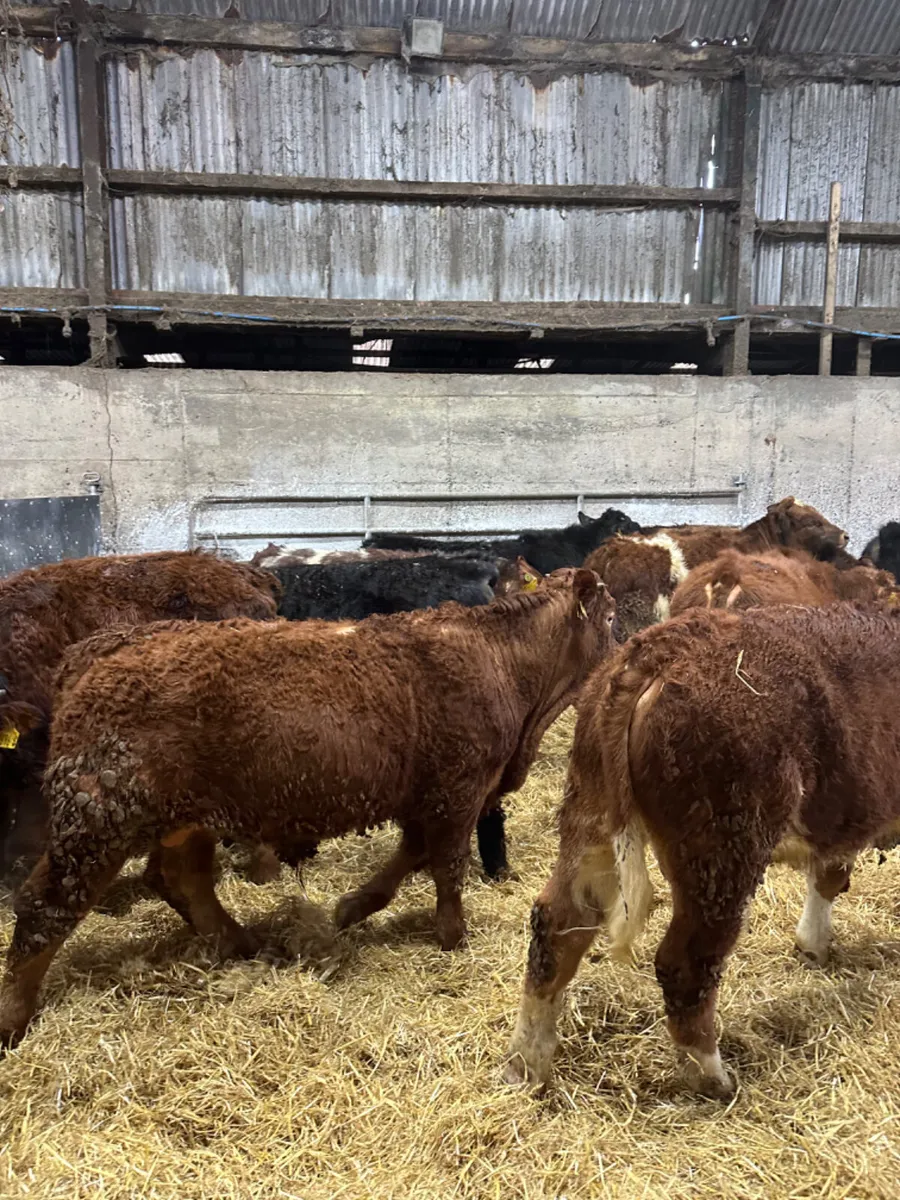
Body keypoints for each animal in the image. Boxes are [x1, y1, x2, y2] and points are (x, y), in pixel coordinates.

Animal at [505, 603, 900, 1100]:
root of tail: (659, 649)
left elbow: (828, 874)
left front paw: (813, 945)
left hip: (590, 815)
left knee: (557, 925)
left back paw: (525, 1063)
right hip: (721, 847)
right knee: (686, 962)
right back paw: (711, 1076)